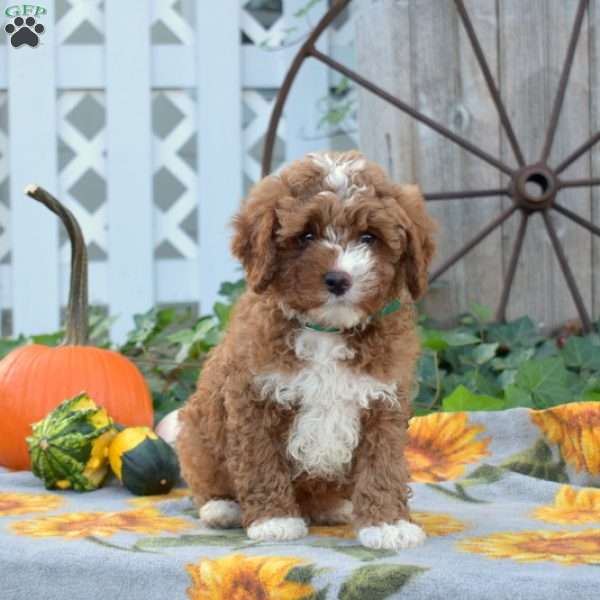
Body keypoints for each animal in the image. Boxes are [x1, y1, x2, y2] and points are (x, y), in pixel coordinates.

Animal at [177, 151, 436, 552]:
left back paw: (333, 508)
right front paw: (274, 519)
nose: (338, 279)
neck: (327, 330)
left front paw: (388, 523)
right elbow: (259, 460)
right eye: (307, 235)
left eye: (369, 237)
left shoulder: (383, 403)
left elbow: (383, 465)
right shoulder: (253, 398)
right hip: (194, 434)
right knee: (205, 481)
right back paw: (223, 508)